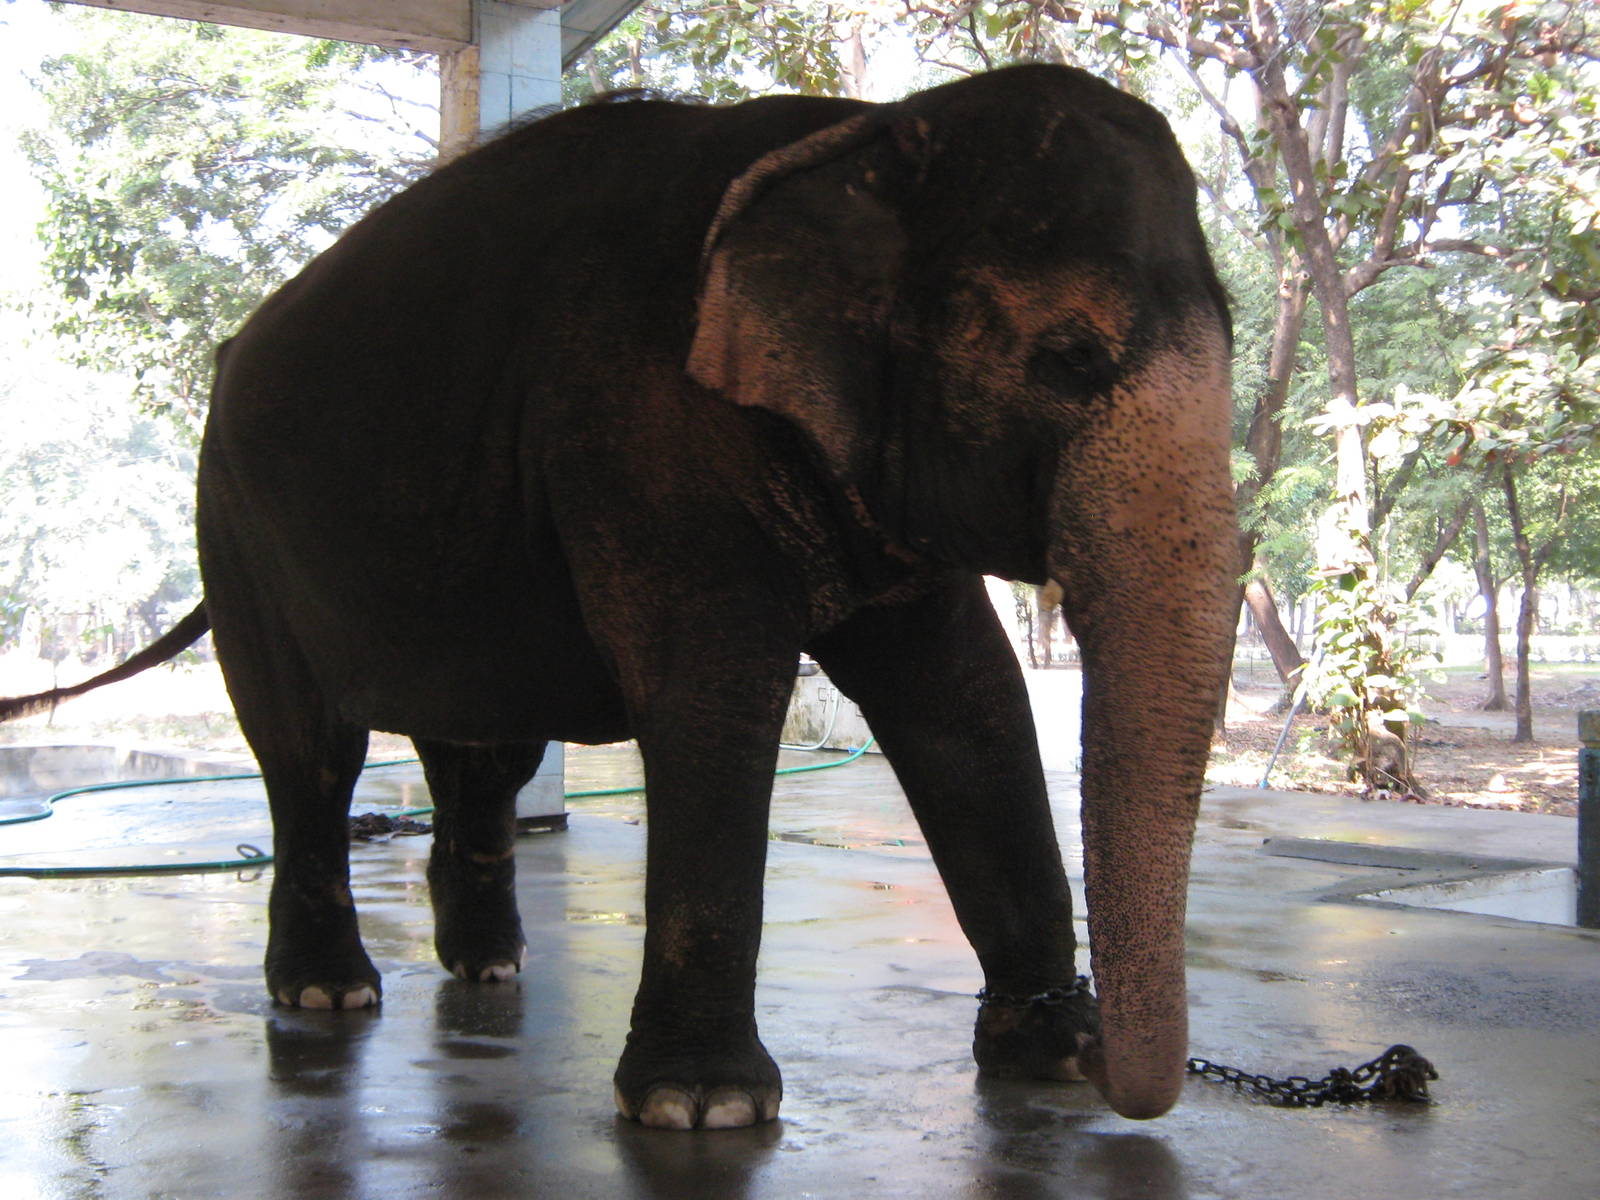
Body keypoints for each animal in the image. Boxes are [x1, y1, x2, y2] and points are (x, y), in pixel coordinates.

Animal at [1, 64, 1237, 1128]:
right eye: (1071, 356)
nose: (1118, 1069)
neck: (862, 133)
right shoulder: (640, 428)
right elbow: (716, 696)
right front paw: (704, 1109)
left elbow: (966, 702)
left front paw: (1046, 1055)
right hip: (235, 523)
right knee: (311, 750)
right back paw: (327, 995)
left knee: (484, 747)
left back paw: (490, 968)